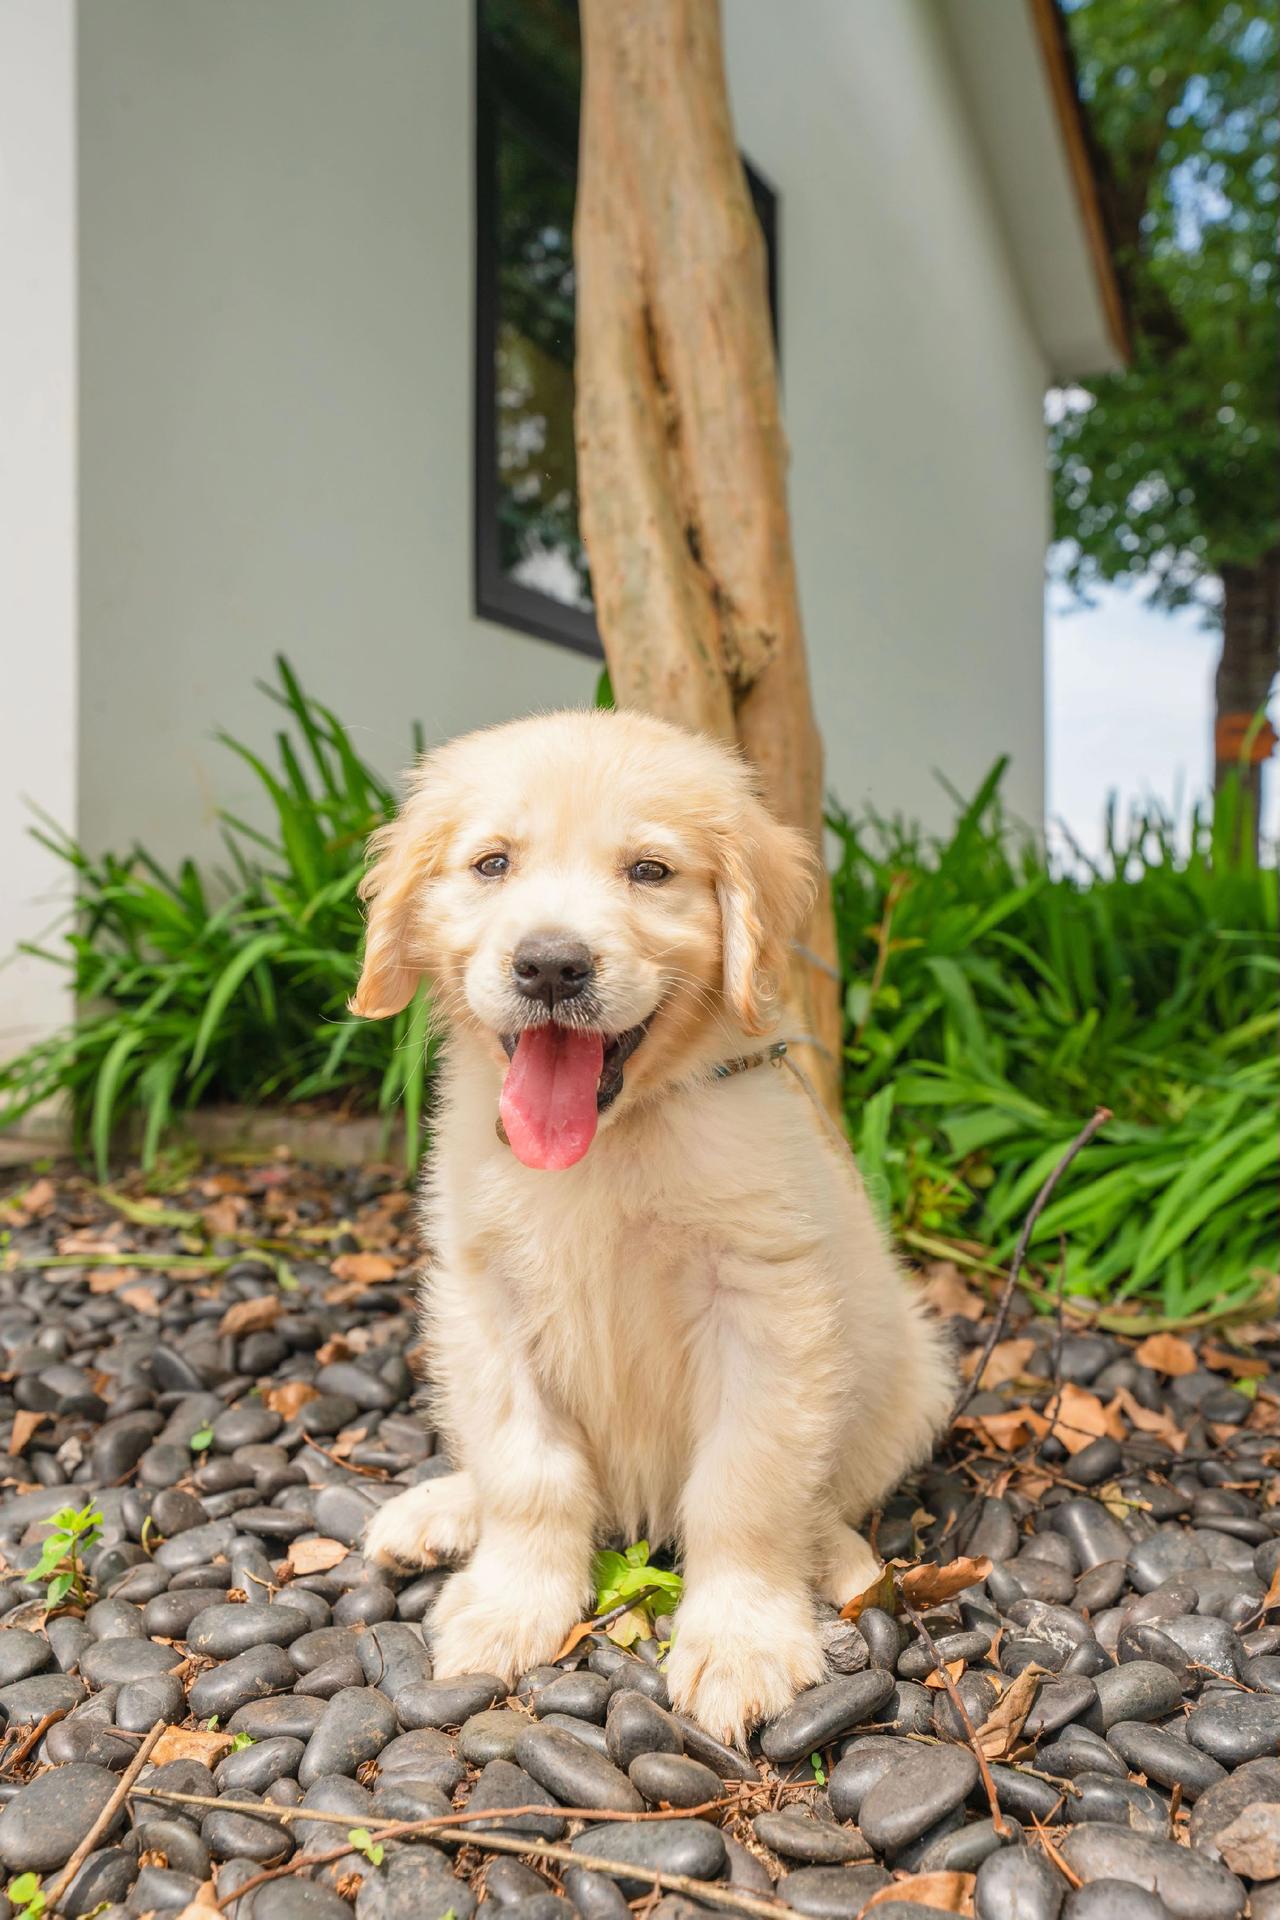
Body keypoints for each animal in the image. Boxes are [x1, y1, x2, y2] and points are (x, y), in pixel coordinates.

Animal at [353, 707, 953, 1742]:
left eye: (649, 871)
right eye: (492, 864)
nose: (551, 964)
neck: (612, 1138)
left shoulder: (764, 1301)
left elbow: (745, 1485)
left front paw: (743, 1642)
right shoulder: (484, 1299)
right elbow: (526, 1468)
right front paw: (512, 1604)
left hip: (912, 1377)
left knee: (826, 1492)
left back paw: (836, 1556)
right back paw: (440, 1511)